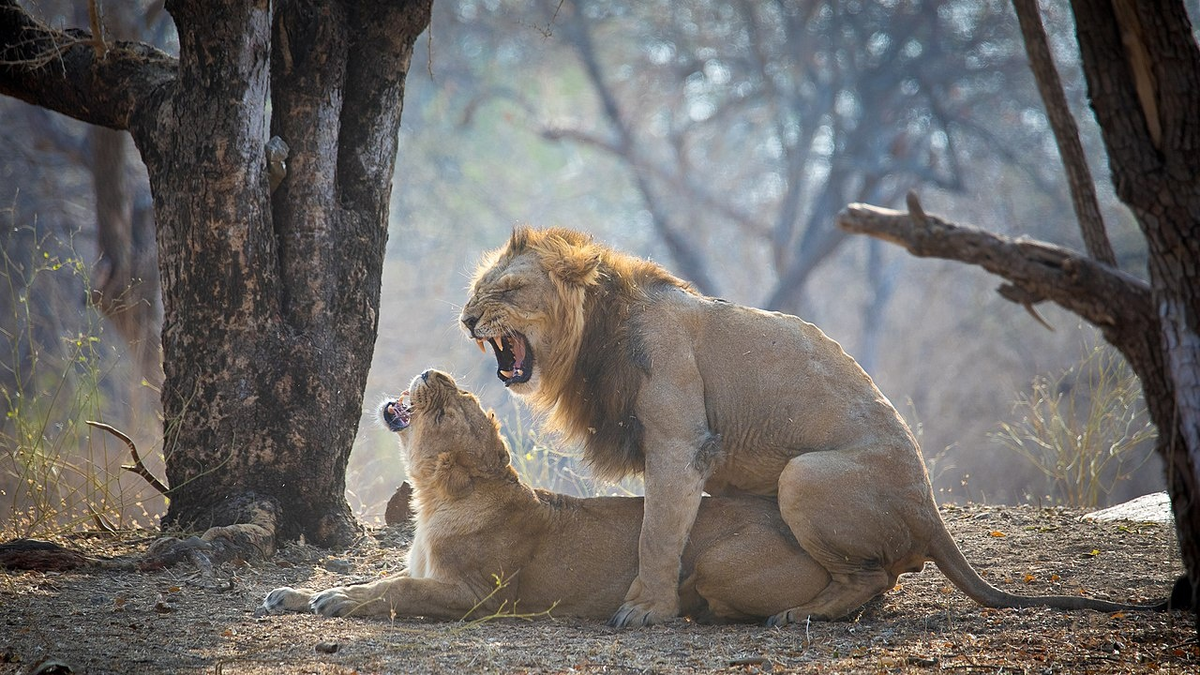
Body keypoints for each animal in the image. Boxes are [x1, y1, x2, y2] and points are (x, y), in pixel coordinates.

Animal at [260, 367, 835, 619]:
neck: (435, 500)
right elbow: (376, 577)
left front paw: (339, 600)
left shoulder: (479, 595)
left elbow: (398, 590)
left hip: (715, 562)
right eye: (463, 392)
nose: (427, 371)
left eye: (447, 410)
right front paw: (294, 593)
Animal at [460, 227, 1161, 624]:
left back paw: (800, 614)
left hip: (805, 475)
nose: (466, 319)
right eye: (476, 290)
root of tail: (929, 506)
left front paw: (643, 611)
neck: (597, 334)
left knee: (873, 574)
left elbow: (657, 534)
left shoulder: (681, 442)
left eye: (510, 290)